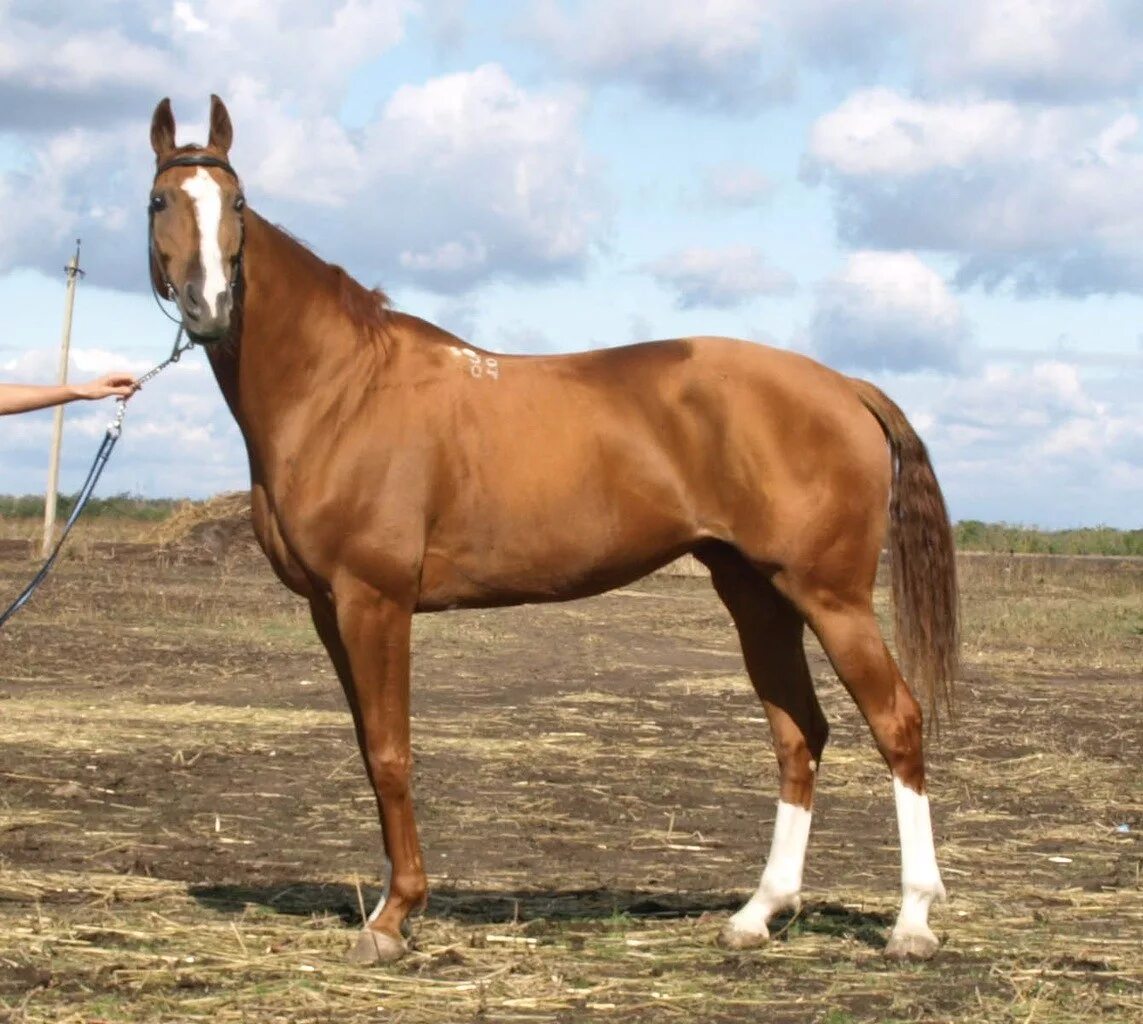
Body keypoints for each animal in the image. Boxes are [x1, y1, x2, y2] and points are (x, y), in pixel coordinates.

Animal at [147, 93, 960, 960]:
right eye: (161, 200)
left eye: (236, 204)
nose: (207, 306)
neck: (342, 389)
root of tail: (845, 385)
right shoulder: (327, 610)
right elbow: (370, 750)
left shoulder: (374, 601)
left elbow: (392, 752)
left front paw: (393, 918)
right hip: (757, 597)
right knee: (798, 733)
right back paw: (757, 913)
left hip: (830, 597)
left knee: (896, 723)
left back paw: (911, 921)